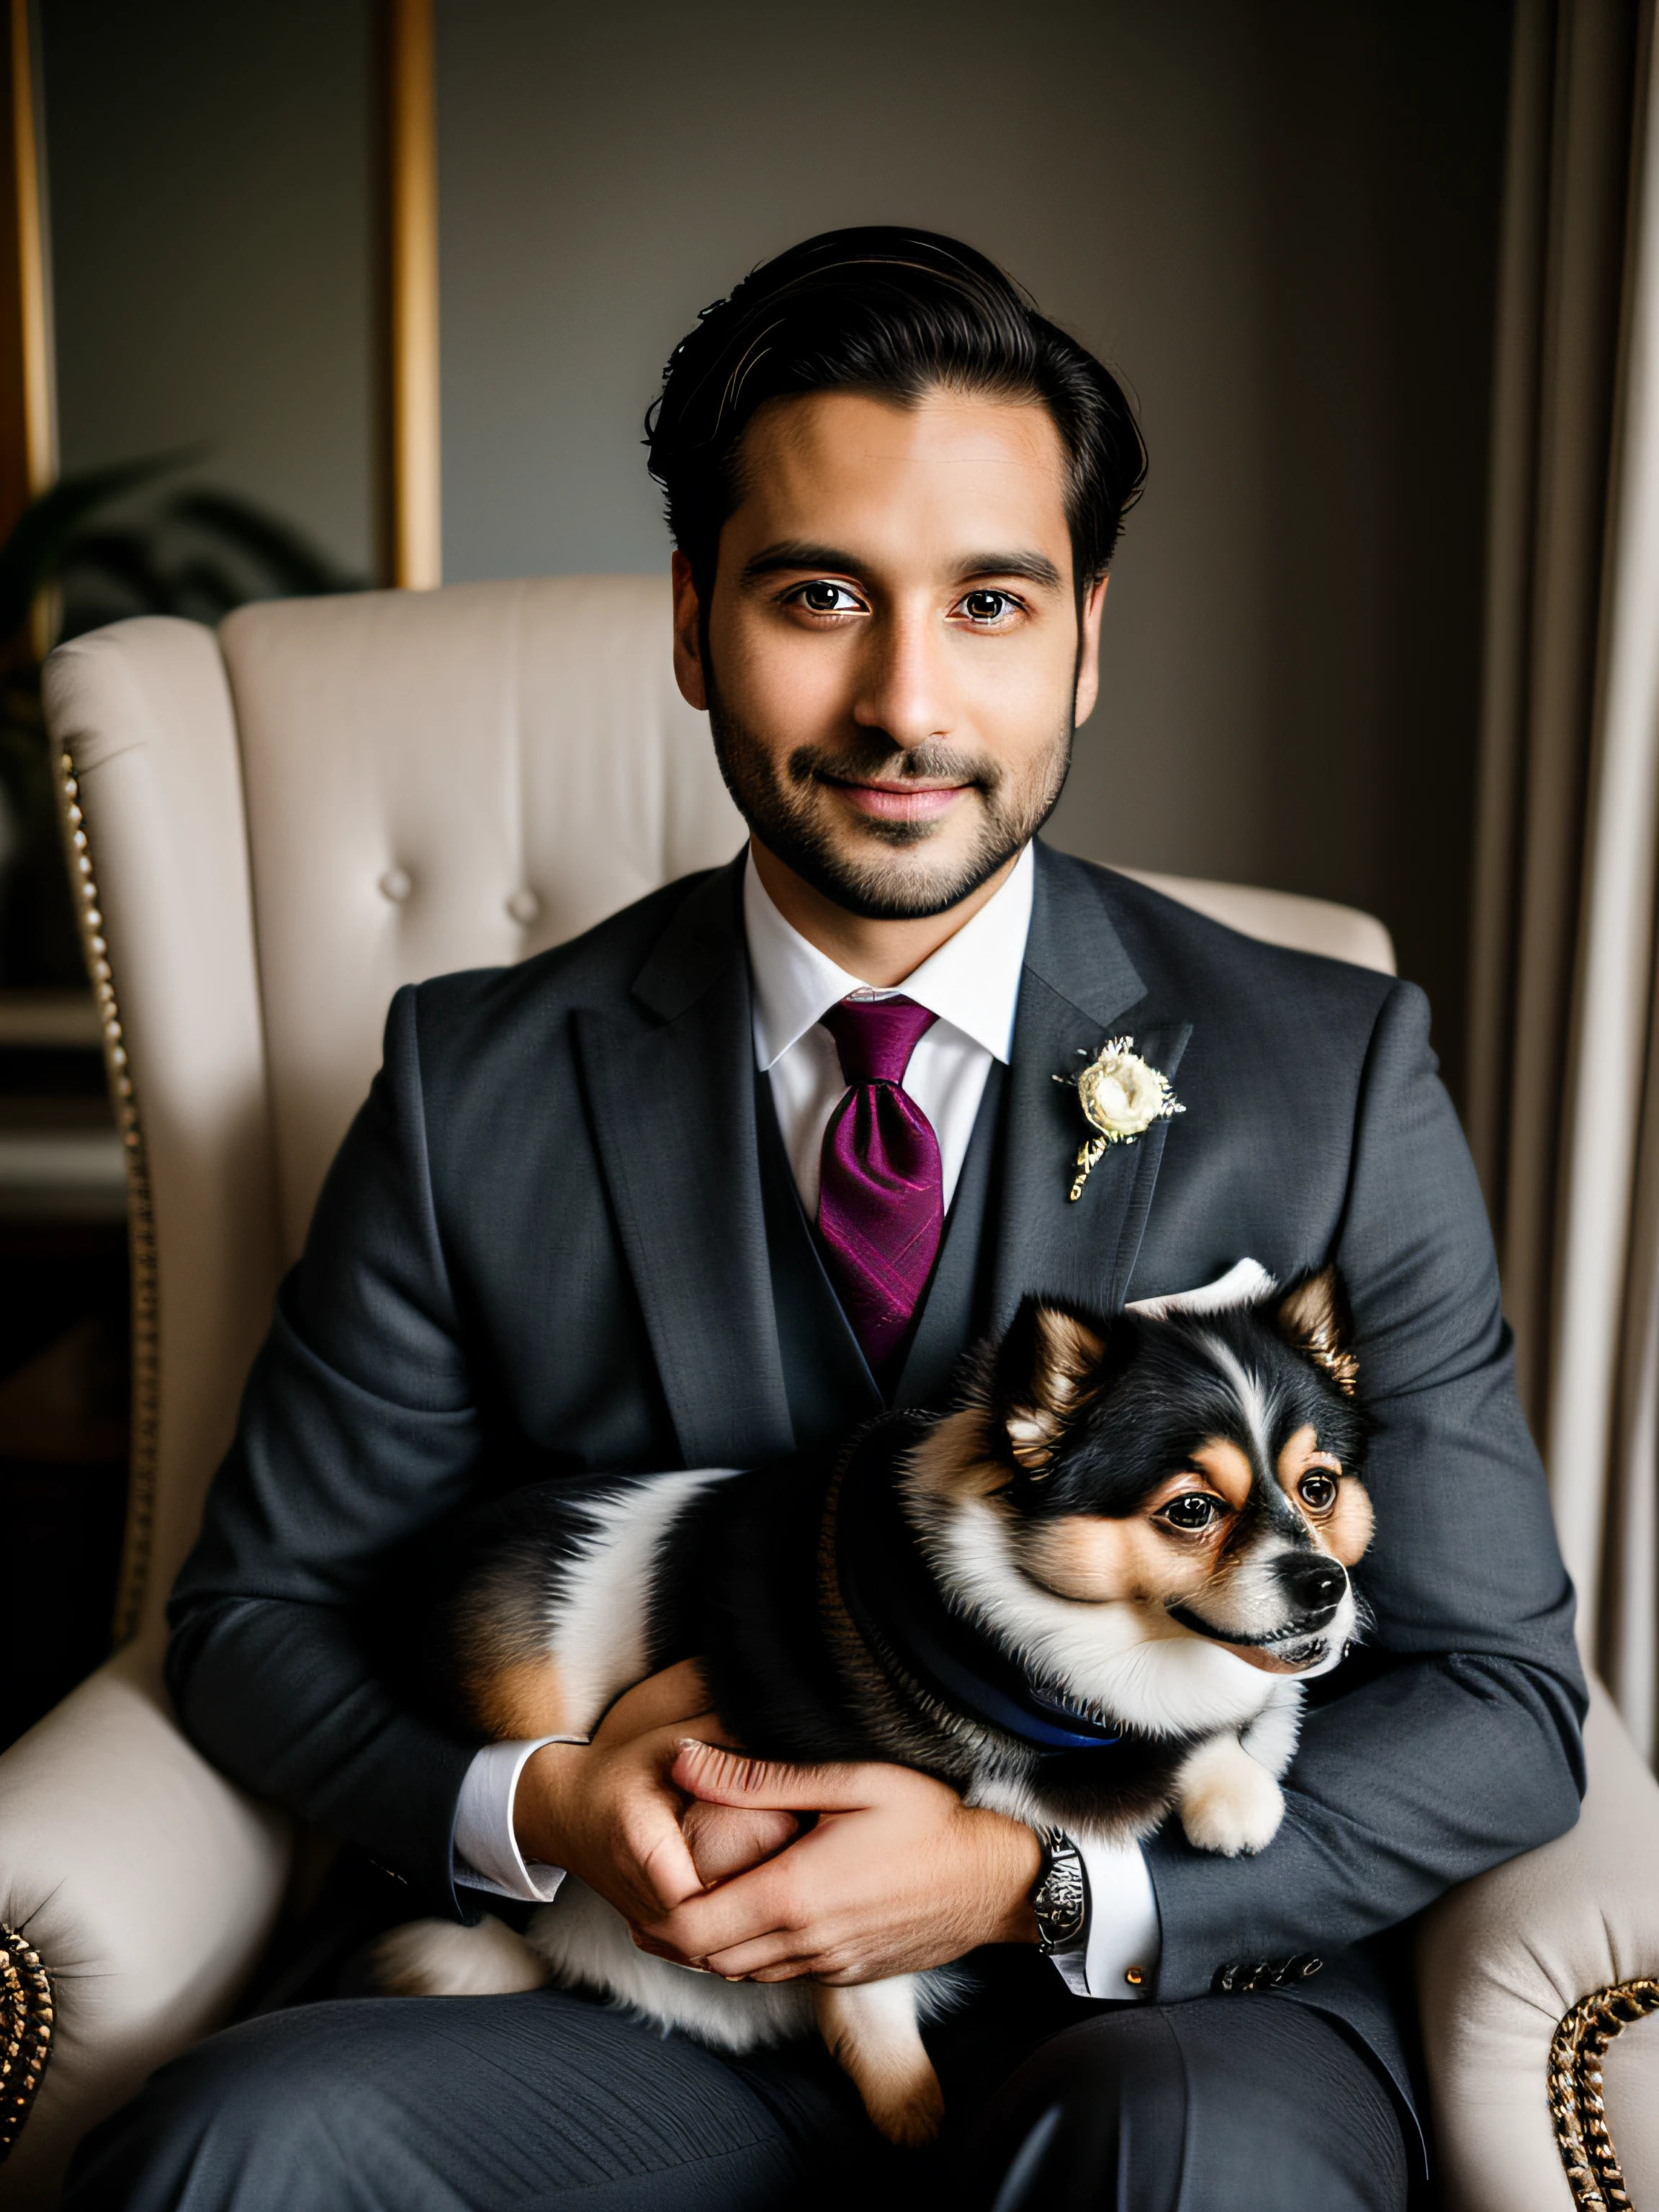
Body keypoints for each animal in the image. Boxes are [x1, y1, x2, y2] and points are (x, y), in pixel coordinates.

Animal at [387, 1265, 1380, 2141]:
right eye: (1192, 1510)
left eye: (1318, 1488)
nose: (1324, 1584)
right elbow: (868, 1995)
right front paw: (913, 2120)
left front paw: (1229, 1785)